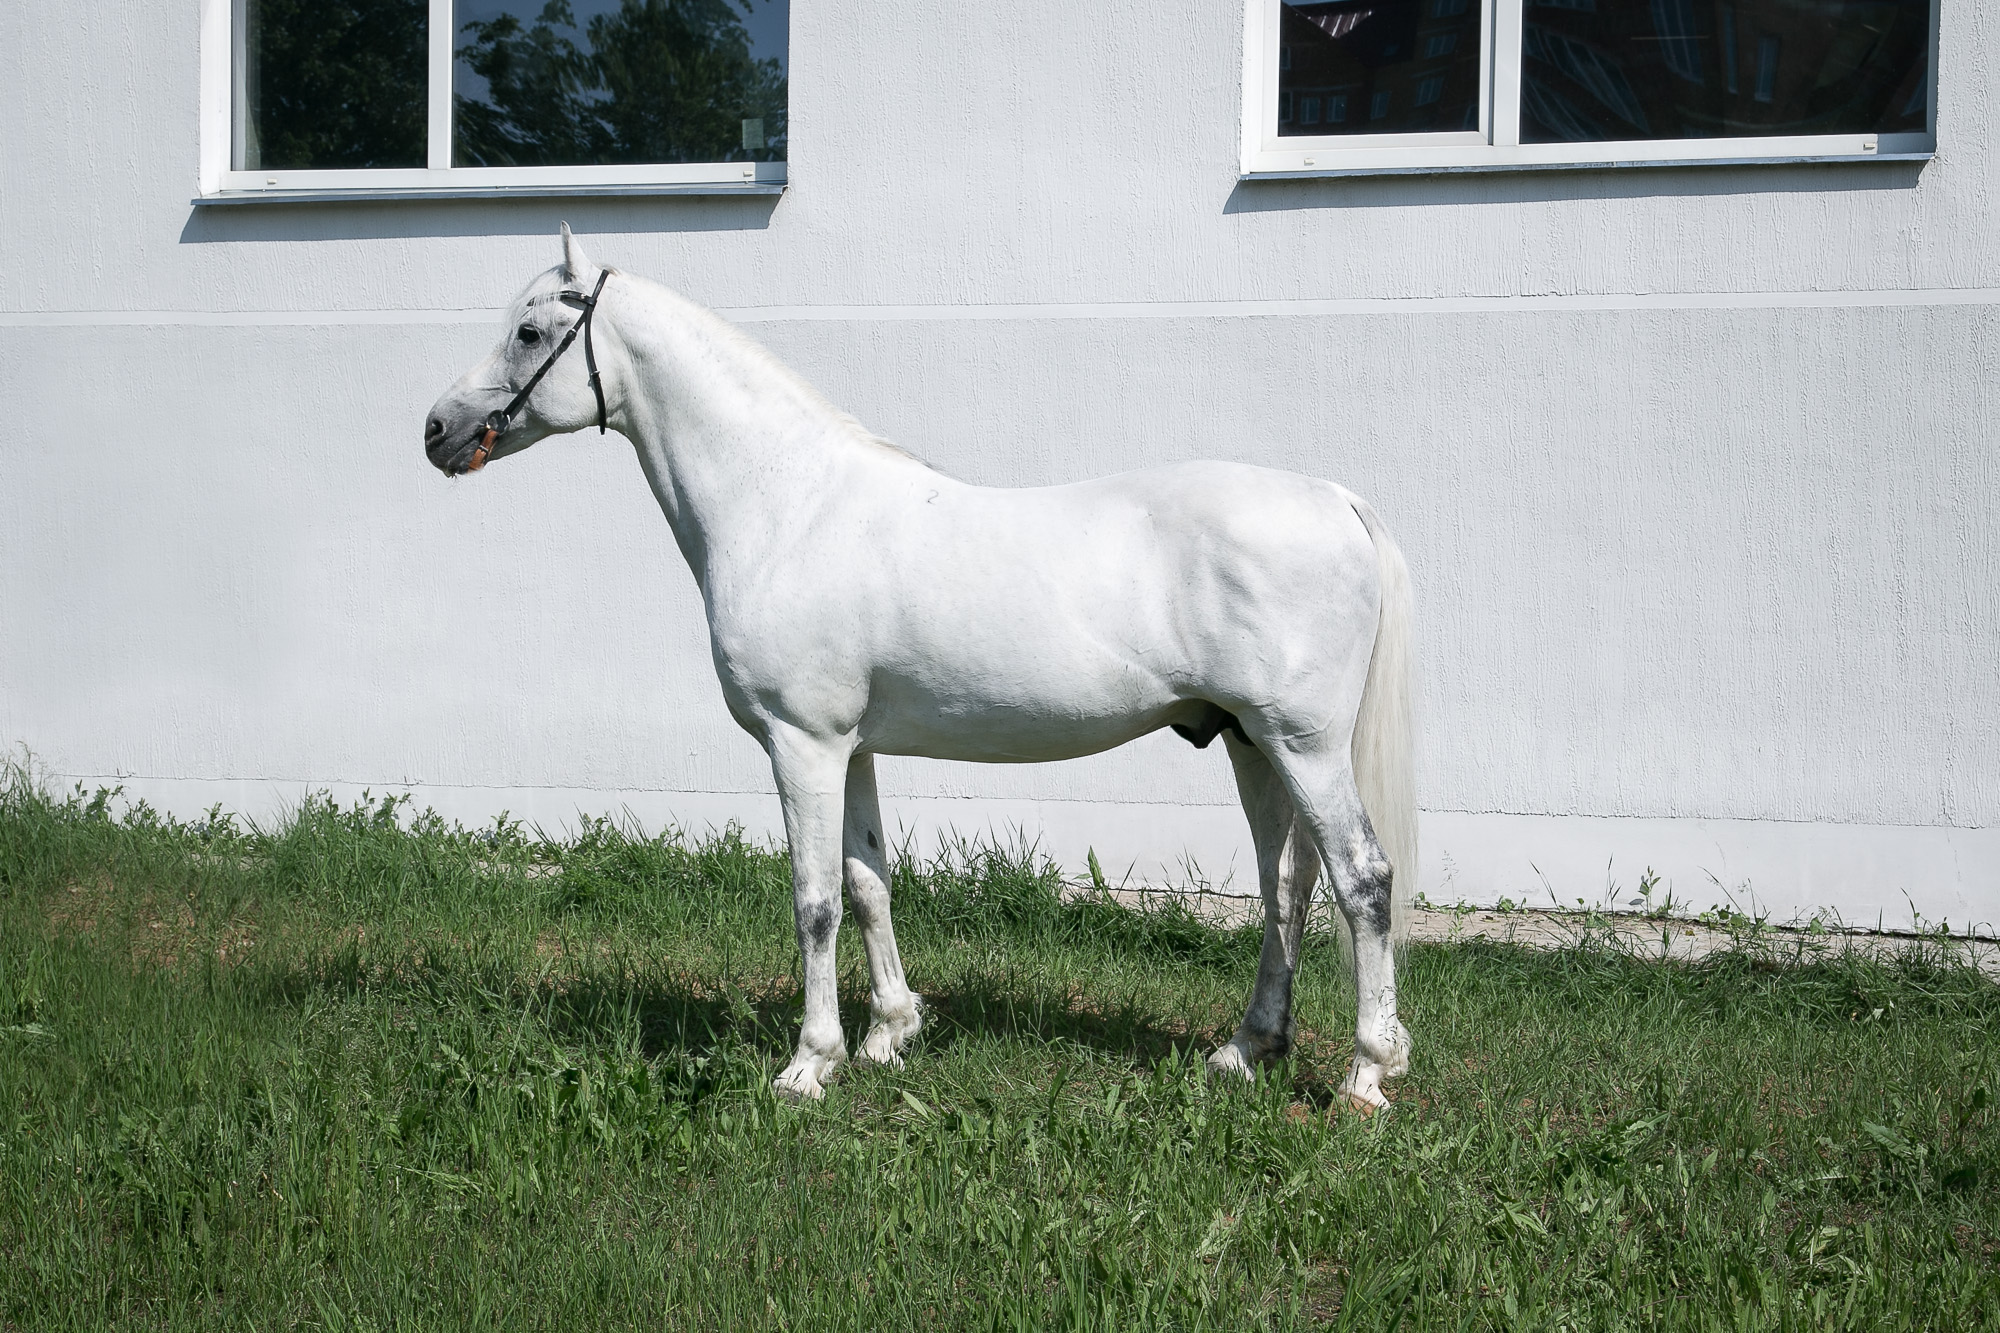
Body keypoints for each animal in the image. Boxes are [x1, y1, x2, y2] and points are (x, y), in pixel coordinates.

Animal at [424, 228, 1424, 1112]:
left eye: (528, 331)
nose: (437, 428)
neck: (786, 500)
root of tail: (1336, 499)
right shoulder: (851, 746)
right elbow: (869, 882)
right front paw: (887, 1035)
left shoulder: (802, 743)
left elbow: (815, 899)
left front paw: (808, 1064)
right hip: (1253, 745)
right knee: (1286, 885)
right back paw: (1245, 1049)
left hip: (1305, 745)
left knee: (1362, 880)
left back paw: (1367, 1074)